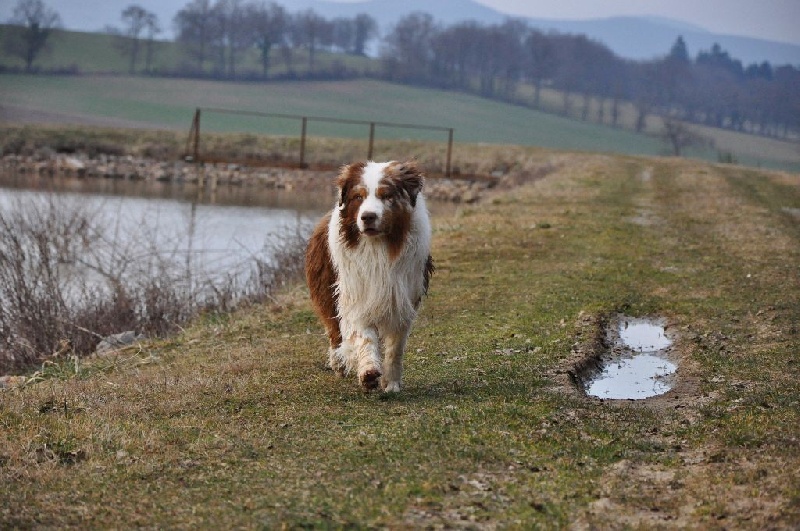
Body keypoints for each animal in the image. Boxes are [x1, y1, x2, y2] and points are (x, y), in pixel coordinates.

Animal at [304, 161, 432, 390]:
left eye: (386, 195)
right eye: (358, 197)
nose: (367, 217)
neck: (378, 248)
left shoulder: (403, 298)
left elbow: (395, 347)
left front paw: (391, 383)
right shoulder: (356, 293)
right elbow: (364, 336)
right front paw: (369, 371)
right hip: (326, 290)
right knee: (334, 332)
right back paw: (338, 364)